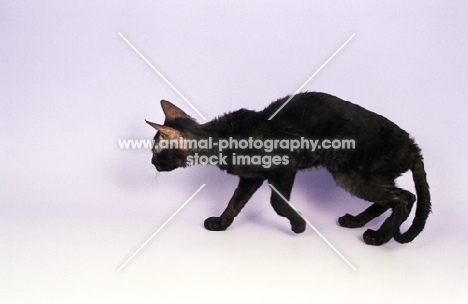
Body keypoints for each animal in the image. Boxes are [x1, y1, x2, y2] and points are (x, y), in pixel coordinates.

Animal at [146, 92, 432, 245]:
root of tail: (412, 145)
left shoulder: (285, 166)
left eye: (156, 152)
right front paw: (221, 223)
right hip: (359, 176)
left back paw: (380, 238)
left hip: (352, 175)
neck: (220, 136)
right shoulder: (251, 178)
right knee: (390, 200)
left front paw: (299, 224)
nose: (151, 163)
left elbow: (277, 204)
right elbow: (234, 202)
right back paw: (358, 222)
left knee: (405, 198)